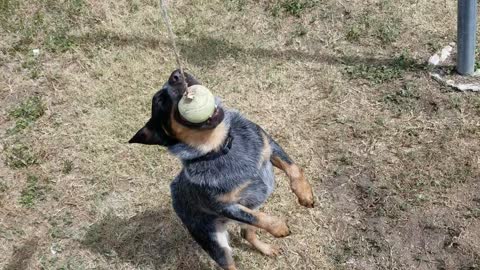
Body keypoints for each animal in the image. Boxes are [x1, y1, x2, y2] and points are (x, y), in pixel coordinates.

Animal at [129, 70, 316, 270]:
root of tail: (173, 196)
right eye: (159, 101)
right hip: (214, 242)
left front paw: (305, 194)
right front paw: (280, 227)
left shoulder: (268, 144)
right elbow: (257, 217)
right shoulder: (224, 206)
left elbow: (293, 168)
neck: (221, 147)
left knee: (246, 233)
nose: (176, 74)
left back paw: (267, 249)